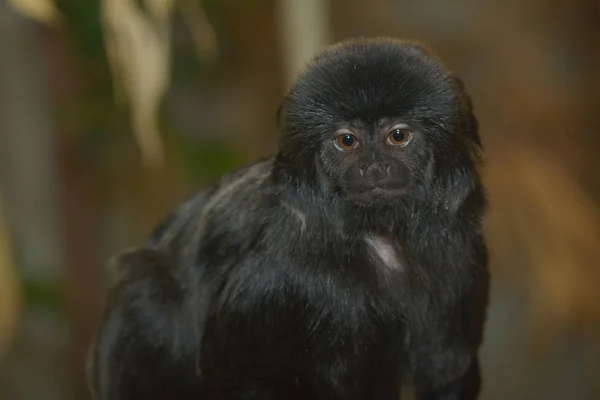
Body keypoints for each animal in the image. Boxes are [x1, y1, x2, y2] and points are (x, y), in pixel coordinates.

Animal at [88, 38, 488, 400]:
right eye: (347, 141)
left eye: (398, 136)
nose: (373, 168)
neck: (378, 236)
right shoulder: (274, 273)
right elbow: (233, 365)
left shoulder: (464, 256)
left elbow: (448, 370)